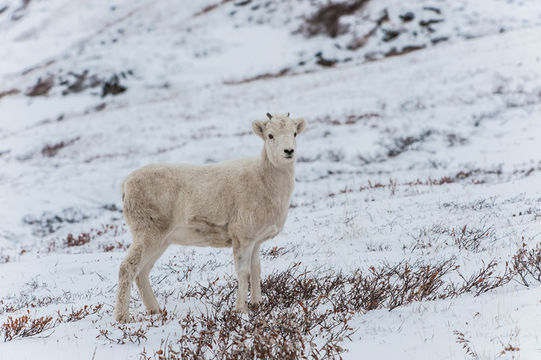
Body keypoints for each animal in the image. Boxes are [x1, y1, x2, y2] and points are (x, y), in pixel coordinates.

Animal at [113, 112, 308, 320]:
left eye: (294, 133)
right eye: (270, 135)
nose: (288, 151)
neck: (265, 182)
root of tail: (126, 185)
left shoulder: (256, 241)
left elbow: (256, 271)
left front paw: (257, 304)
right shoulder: (243, 238)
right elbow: (244, 272)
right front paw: (241, 310)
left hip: (162, 241)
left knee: (142, 272)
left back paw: (156, 311)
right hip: (148, 234)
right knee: (128, 268)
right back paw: (123, 318)